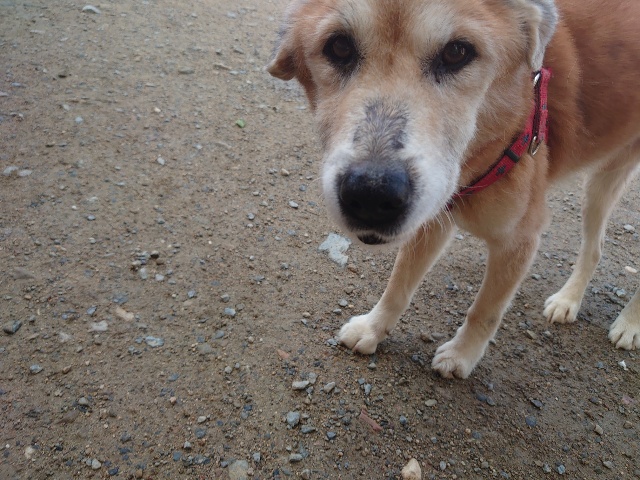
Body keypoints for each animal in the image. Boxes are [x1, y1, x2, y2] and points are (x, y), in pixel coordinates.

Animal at [267, 0, 640, 378]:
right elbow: (398, 286)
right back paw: (568, 300)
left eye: (457, 52)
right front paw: (373, 328)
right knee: (595, 249)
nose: (371, 194)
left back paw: (629, 325)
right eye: (339, 47)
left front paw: (462, 355)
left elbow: (485, 311)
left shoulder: (519, 240)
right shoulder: (433, 218)